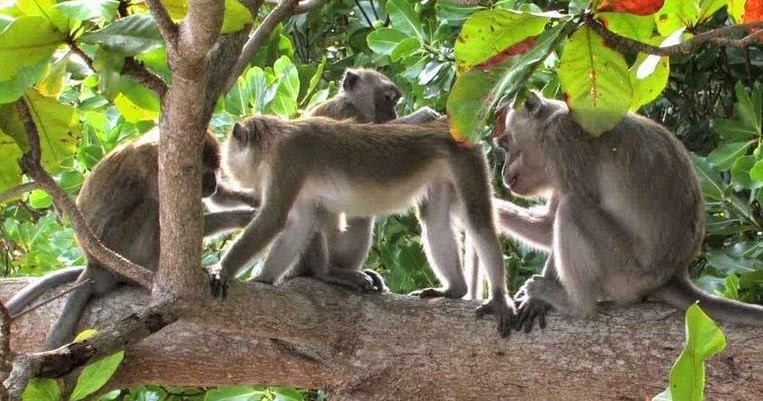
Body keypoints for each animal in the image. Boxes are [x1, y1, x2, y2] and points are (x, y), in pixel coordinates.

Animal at [5, 130, 256, 348]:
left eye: (216, 171)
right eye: (207, 173)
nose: (213, 184)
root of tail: (95, 265)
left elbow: (219, 199)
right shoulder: (158, 175)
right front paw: (241, 217)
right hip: (123, 245)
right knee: (151, 208)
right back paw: (154, 270)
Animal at [209, 115, 520, 334]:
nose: (225, 171)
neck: (274, 139)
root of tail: (447, 127)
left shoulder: (287, 159)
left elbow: (274, 218)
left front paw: (222, 270)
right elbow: (300, 223)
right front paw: (263, 281)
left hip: (465, 158)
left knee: (478, 218)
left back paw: (498, 297)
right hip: (443, 170)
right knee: (435, 220)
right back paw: (454, 288)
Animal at [296, 67, 444, 290]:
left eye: (395, 102)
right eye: (388, 99)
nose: (394, 114)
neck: (353, 105)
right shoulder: (344, 117)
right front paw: (422, 116)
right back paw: (324, 272)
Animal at [492, 92, 763, 330]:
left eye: (505, 143)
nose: (503, 171)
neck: (550, 122)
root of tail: (673, 275)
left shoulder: (564, 144)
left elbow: (558, 217)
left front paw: (536, 301)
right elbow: (547, 226)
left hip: (625, 272)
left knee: (573, 208)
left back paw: (575, 305)